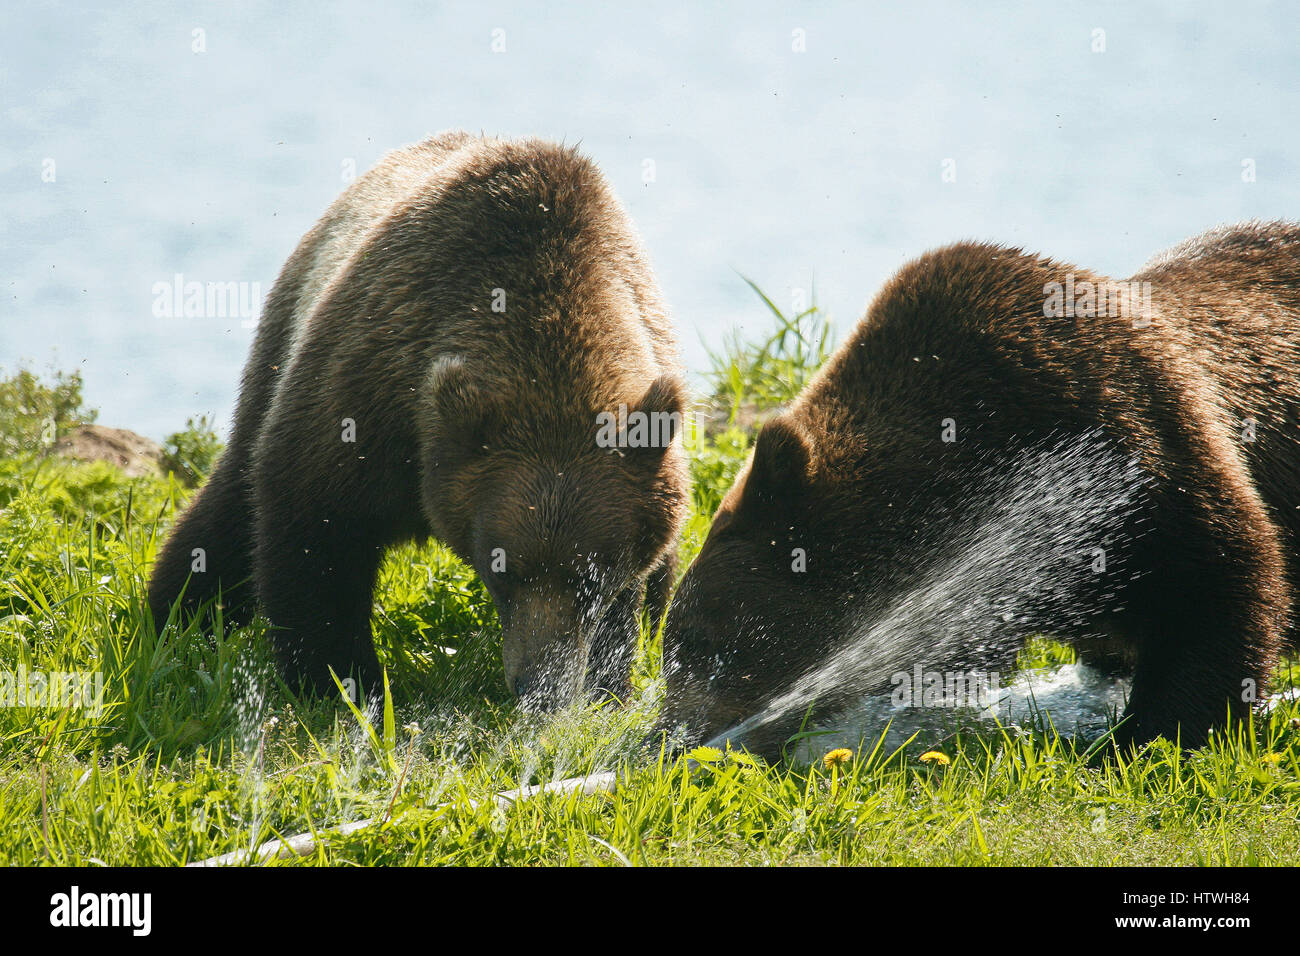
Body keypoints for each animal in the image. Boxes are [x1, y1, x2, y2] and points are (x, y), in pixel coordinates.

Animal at [149, 130, 691, 707]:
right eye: (503, 568)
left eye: (592, 576)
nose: (537, 687)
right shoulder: (371, 391)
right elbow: (314, 530)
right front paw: (342, 681)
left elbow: (629, 594)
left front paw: (606, 684)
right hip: (286, 329)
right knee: (230, 506)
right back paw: (178, 618)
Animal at [660, 221, 1300, 759]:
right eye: (677, 640)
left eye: (701, 643)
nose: (665, 741)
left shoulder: (1131, 448)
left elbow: (1221, 584)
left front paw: (1150, 736)